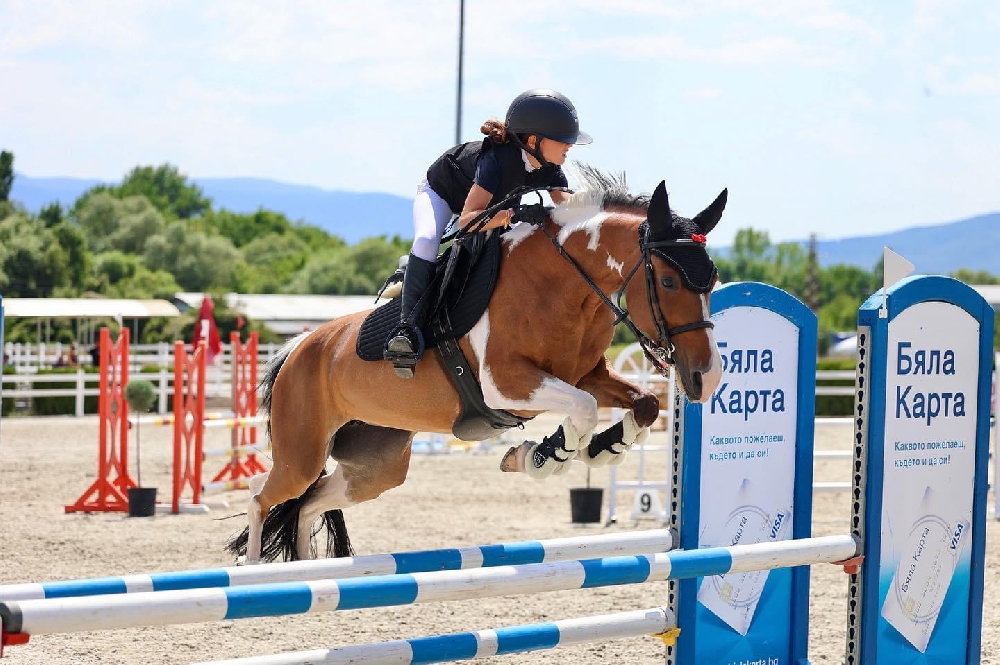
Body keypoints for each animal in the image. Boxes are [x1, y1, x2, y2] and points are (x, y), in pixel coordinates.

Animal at [227, 169, 728, 564]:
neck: (561, 283)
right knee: (261, 494)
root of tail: (299, 346)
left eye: (714, 280)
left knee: (308, 504)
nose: (706, 378)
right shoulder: (505, 385)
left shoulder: (587, 375)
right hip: (303, 452)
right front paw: (541, 456)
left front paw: (598, 450)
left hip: (375, 465)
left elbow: (642, 405)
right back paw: (255, 574)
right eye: (668, 281)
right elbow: (583, 408)